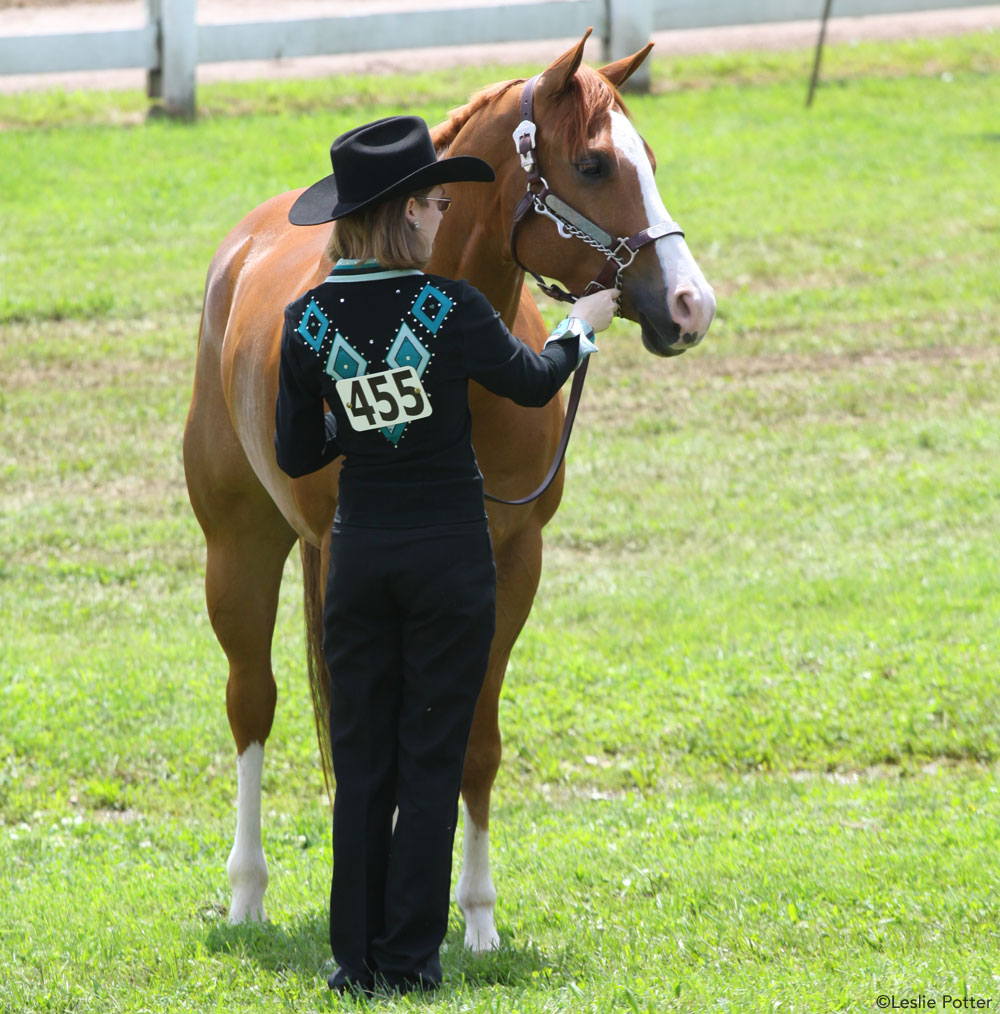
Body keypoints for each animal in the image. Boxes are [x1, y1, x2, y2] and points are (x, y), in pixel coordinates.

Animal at [179, 31, 709, 949]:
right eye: (595, 163)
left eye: (648, 157)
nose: (690, 303)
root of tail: (241, 249)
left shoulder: (511, 563)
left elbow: (474, 742)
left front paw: (477, 918)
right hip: (239, 550)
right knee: (252, 704)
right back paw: (247, 895)